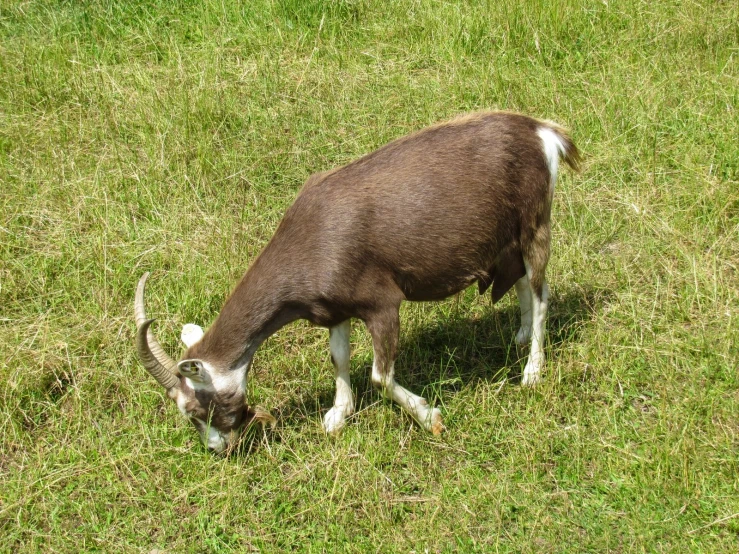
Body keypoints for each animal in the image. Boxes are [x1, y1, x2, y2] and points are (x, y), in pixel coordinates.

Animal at [136, 110, 580, 450]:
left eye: (196, 408)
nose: (218, 448)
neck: (312, 236)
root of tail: (543, 132)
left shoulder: (382, 303)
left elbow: (381, 375)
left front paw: (430, 417)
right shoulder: (336, 309)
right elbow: (339, 357)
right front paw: (338, 414)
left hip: (536, 224)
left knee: (541, 291)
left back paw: (532, 371)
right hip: (510, 238)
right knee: (521, 282)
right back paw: (519, 335)